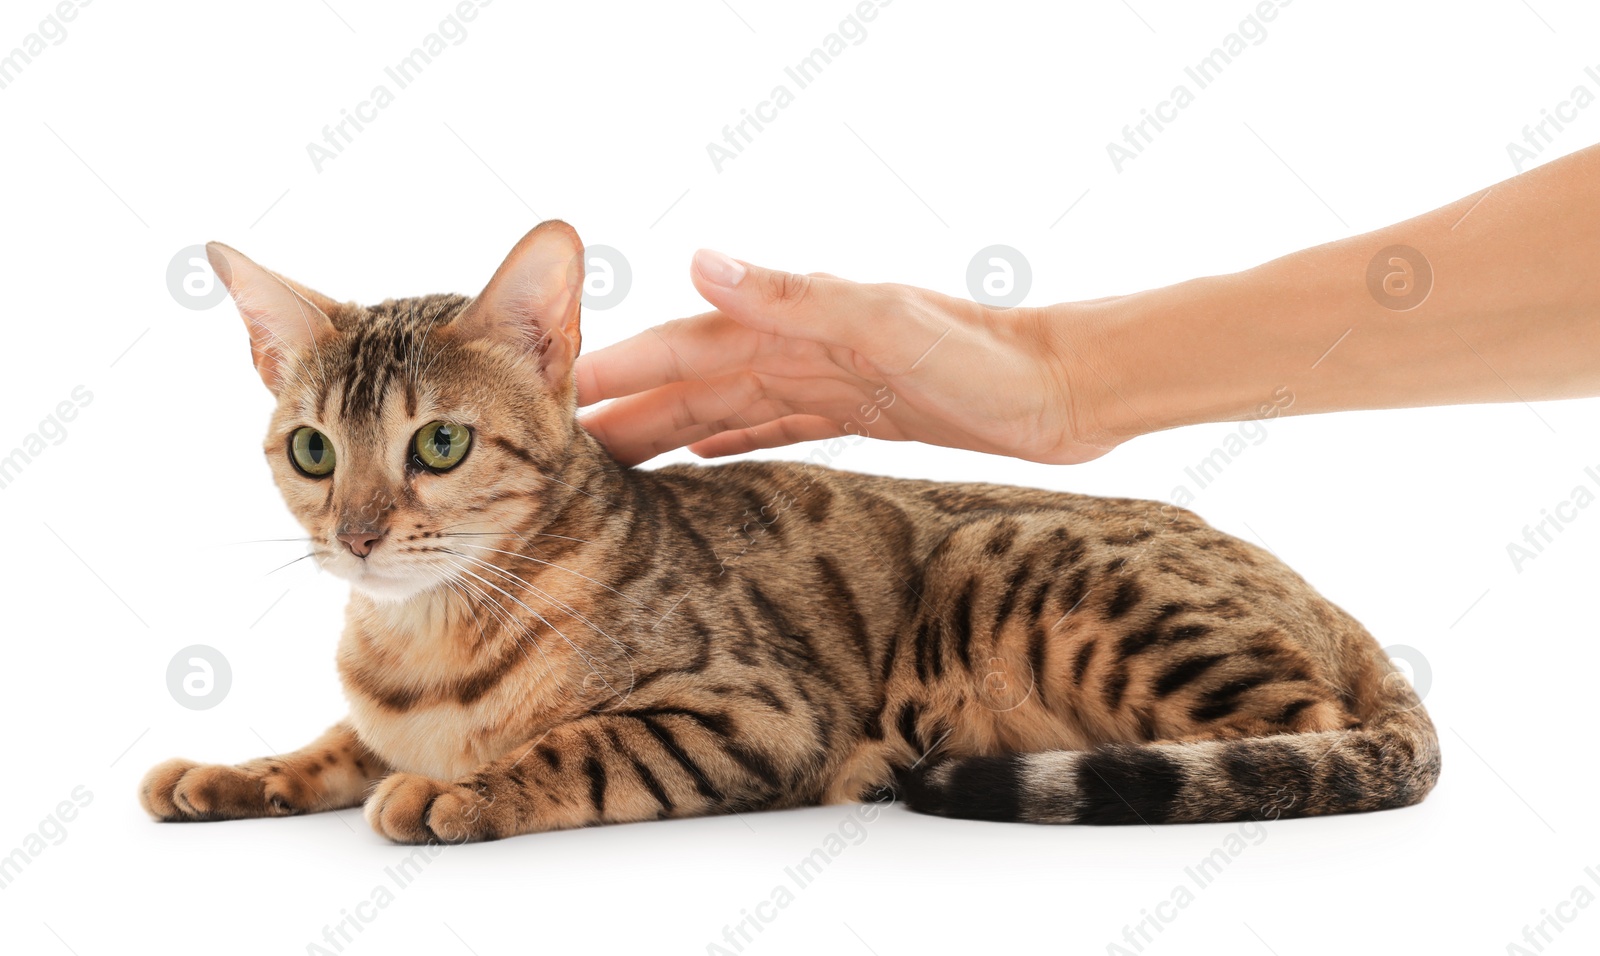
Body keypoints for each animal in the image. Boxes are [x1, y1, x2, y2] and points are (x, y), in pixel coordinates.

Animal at [137, 220, 1440, 844]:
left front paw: (461, 789)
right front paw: (232, 771)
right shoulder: (377, 709)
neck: (423, 635)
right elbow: (334, 743)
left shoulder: (750, 710)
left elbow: (574, 745)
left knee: (1306, 743)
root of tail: (1326, 601)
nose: (357, 534)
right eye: (314, 450)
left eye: (440, 444)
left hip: (1039, 575)